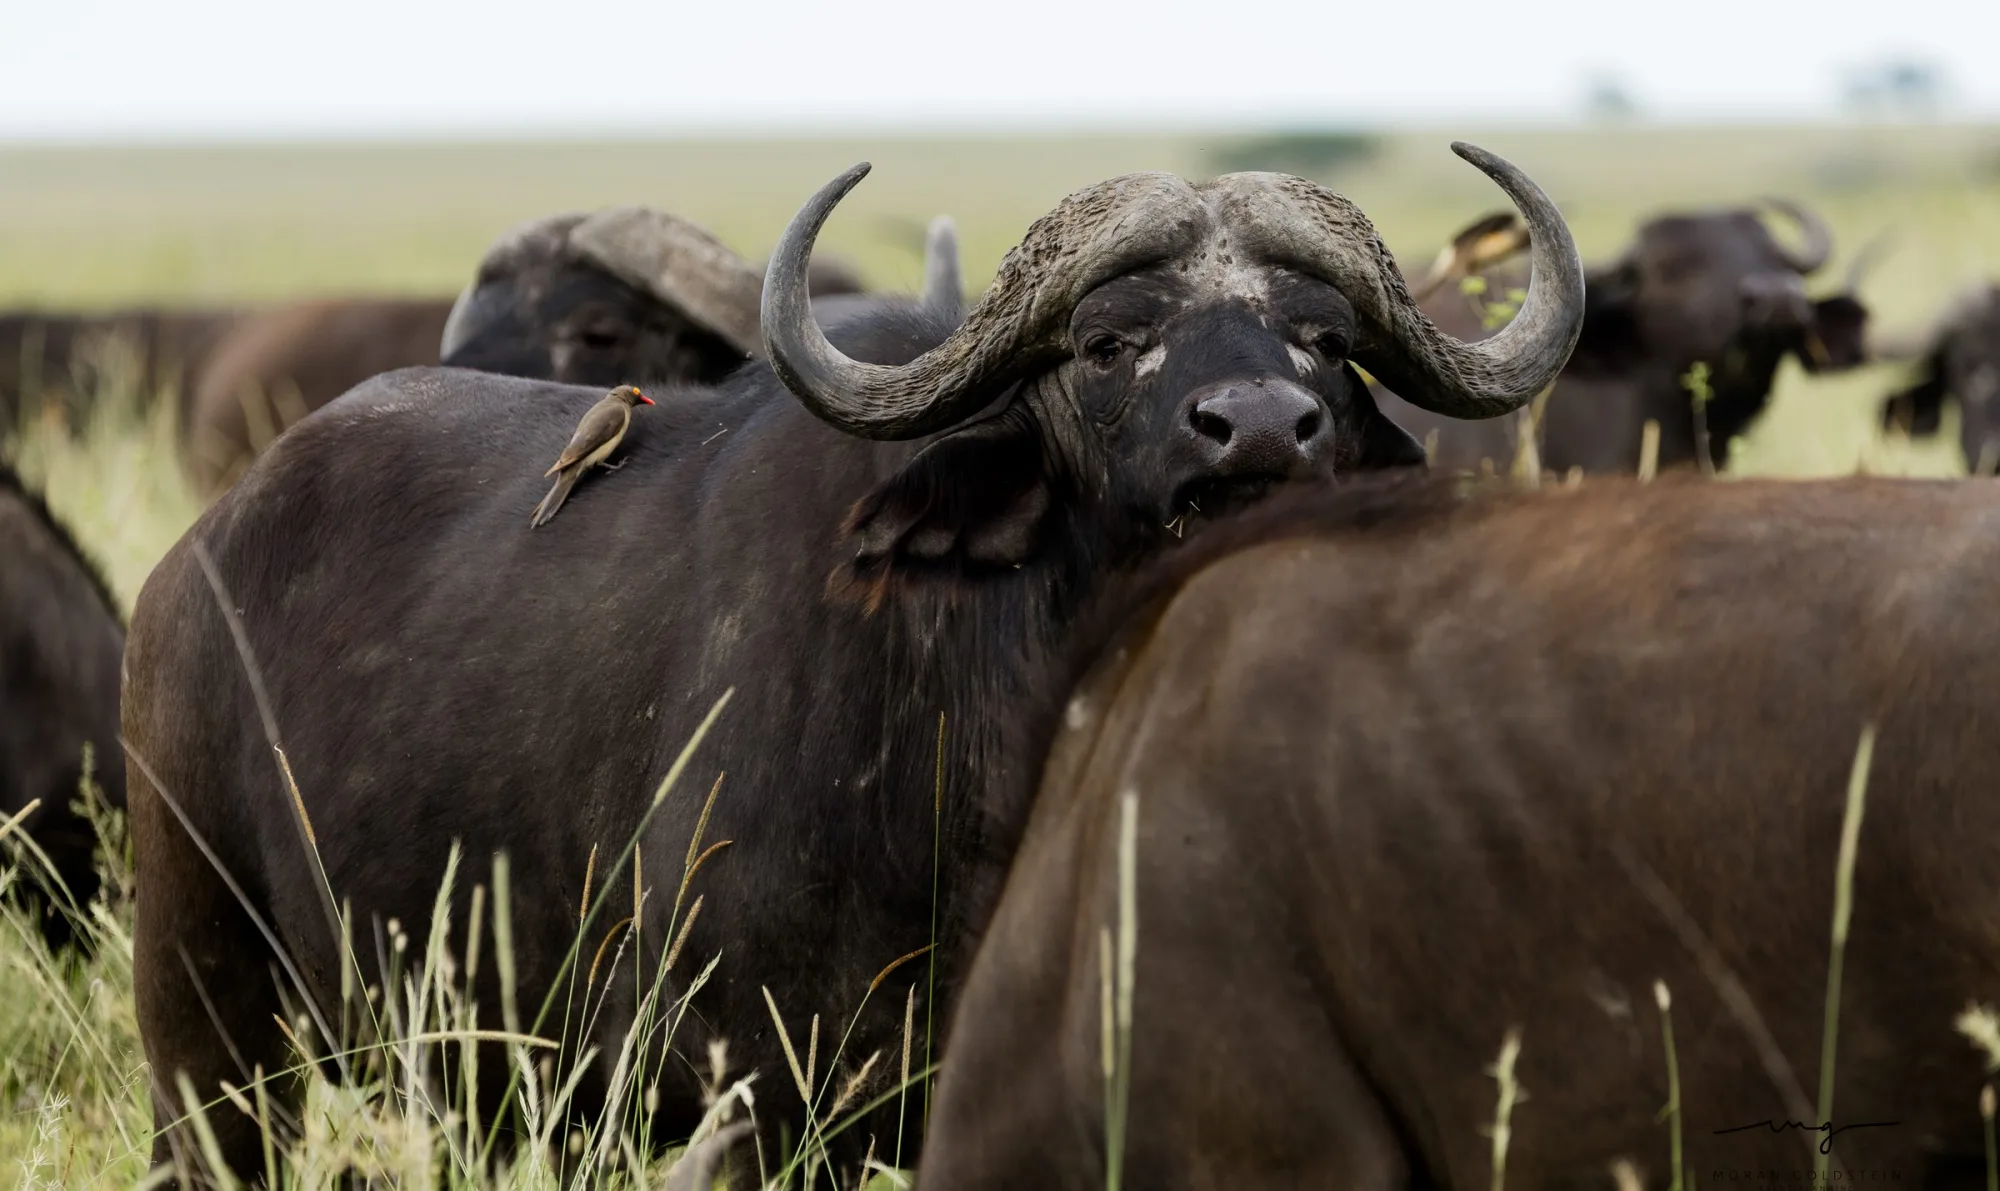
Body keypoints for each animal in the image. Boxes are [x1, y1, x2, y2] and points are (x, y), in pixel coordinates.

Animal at [122, 143, 1583, 1185]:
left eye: (1324, 343)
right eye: (1108, 340)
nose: (1261, 430)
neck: (996, 738)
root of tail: (189, 568)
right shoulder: (748, 1089)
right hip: (206, 1028)